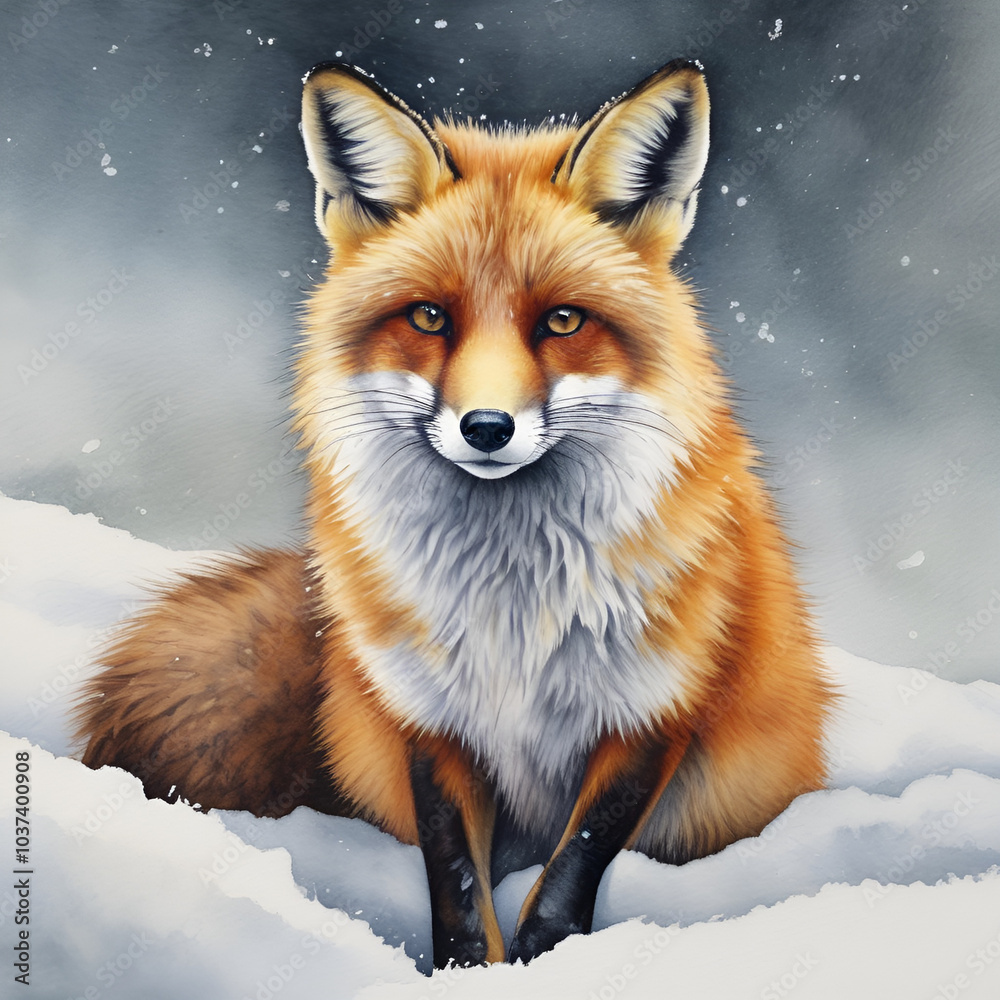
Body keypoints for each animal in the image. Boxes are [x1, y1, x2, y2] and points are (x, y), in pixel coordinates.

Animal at [76, 59, 833, 969]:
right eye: (430, 316)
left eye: (563, 320)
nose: (487, 428)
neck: (509, 605)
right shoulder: (429, 719)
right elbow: (458, 882)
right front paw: (469, 972)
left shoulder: (653, 712)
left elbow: (570, 870)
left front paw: (546, 965)